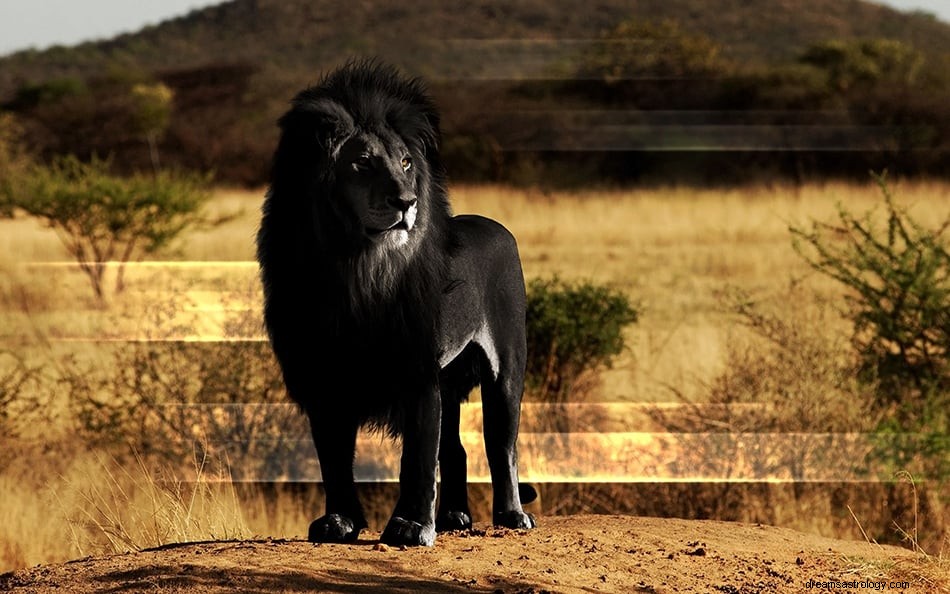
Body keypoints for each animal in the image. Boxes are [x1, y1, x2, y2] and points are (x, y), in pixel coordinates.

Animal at [256, 61, 536, 544]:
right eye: (362, 162)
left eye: (406, 162)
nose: (407, 201)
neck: (355, 268)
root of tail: (497, 225)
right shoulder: (322, 376)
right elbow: (333, 458)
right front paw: (339, 522)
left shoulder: (417, 370)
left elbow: (417, 458)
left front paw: (410, 526)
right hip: (450, 380)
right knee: (456, 450)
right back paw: (454, 517)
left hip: (506, 367)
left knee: (502, 445)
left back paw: (510, 515)